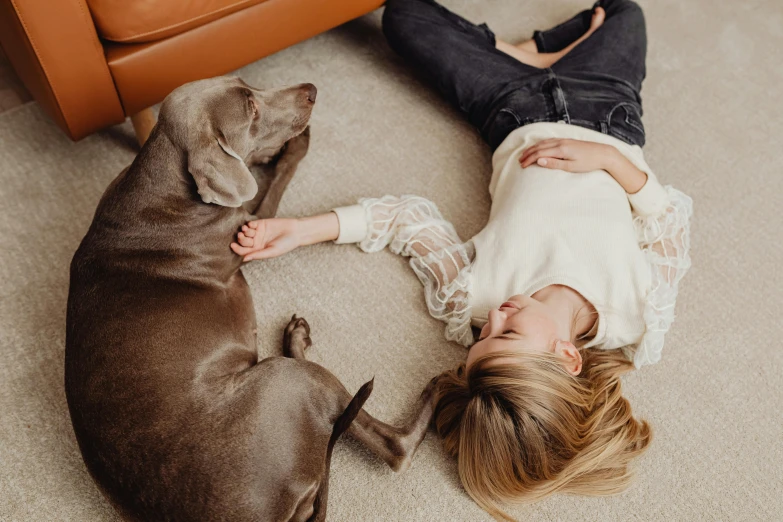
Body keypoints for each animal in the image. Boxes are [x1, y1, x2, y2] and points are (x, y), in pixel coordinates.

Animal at [65, 77, 434, 520]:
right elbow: (277, 178)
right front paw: (295, 143)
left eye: (247, 84)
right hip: (289, 382)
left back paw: (297, 336)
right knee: (394, 446)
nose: (311, 89)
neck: (162, 183)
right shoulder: (252, 223)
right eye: (252, 110)